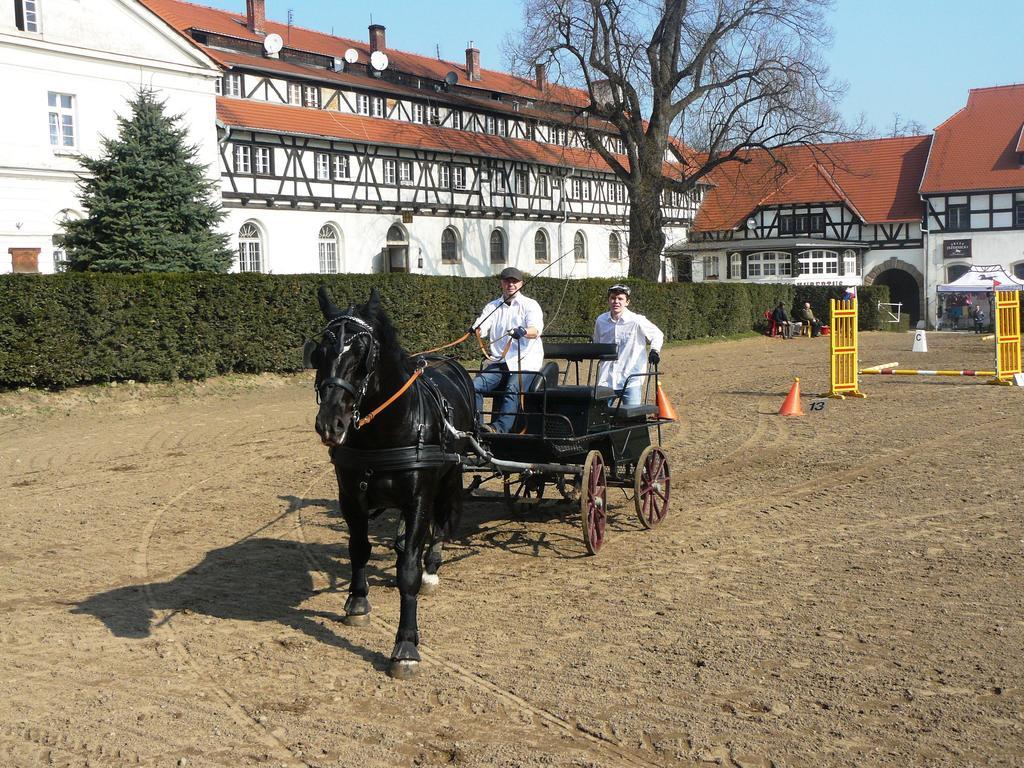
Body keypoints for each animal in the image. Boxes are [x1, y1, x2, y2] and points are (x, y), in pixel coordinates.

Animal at [305, 286, 477, 675]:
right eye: (320, 352)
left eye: (363, 355)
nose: (330, 424)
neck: (384, 432)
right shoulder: (350, 496)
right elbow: (359, 548)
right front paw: (357, 602)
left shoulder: (419, 499)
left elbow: (408, 570)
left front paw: (406, 645)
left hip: (450, 473)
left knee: (439, 523)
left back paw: (432, 566)